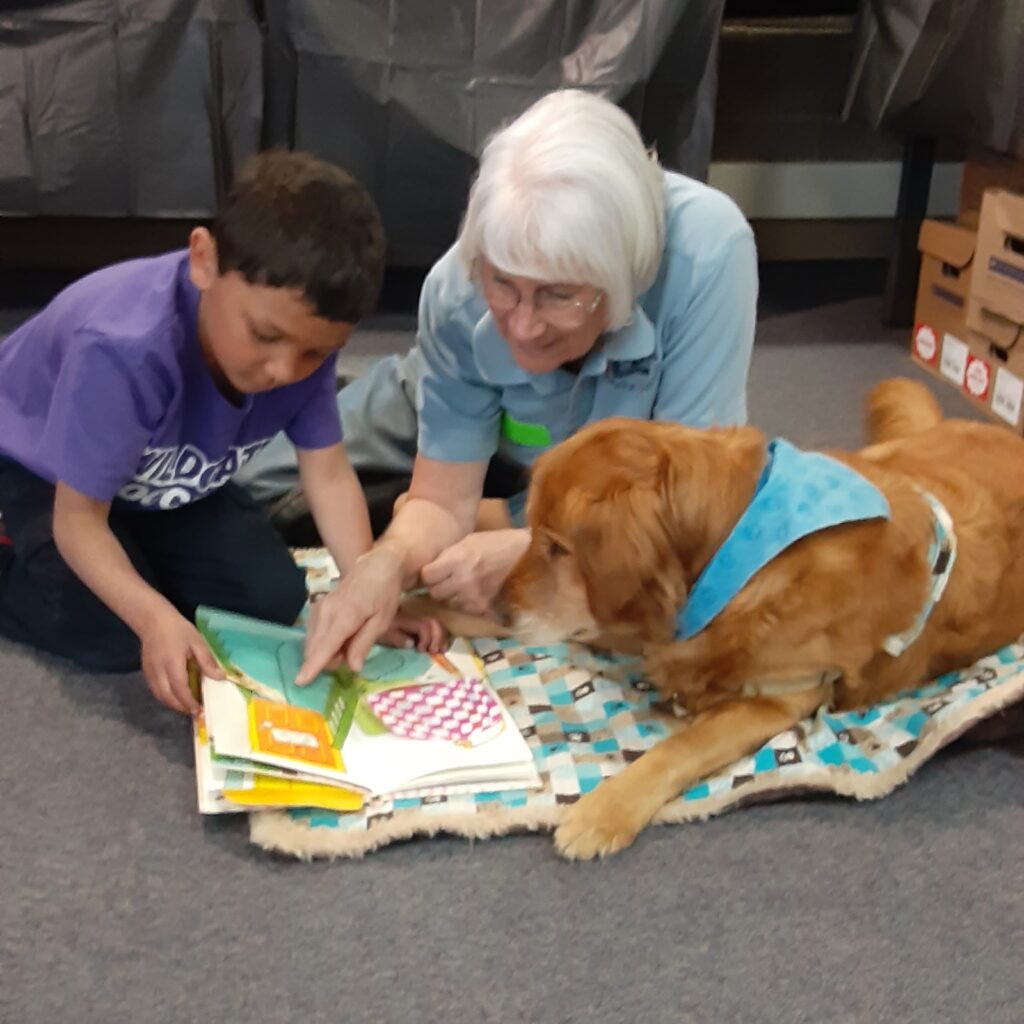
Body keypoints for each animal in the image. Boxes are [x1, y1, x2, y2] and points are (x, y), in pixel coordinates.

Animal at [501, 380, 1024, 860]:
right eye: (530, 530)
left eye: (558, 547)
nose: (497, 607)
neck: (735, 549)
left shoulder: (785, 696)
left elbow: (679, 748)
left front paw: (604, 810)